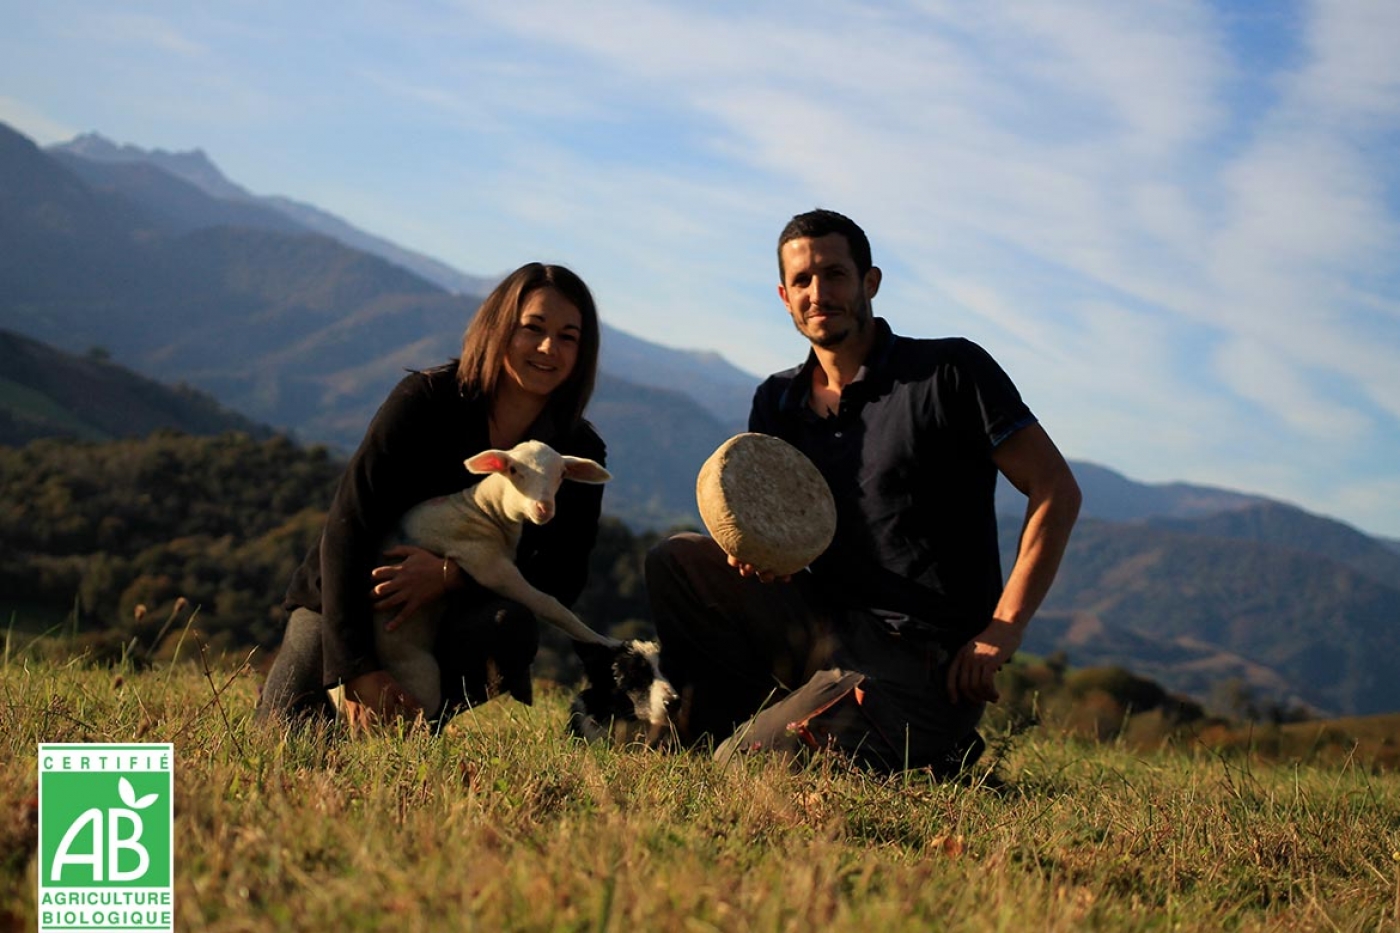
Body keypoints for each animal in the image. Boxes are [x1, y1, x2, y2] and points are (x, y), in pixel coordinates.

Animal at [338, 439, 618, 714]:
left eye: (561, 474)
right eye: (513, 470)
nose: (544, 508)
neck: (482, 509)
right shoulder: (488, 562)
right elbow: (550, 605)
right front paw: (604, 641)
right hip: (418, 675)